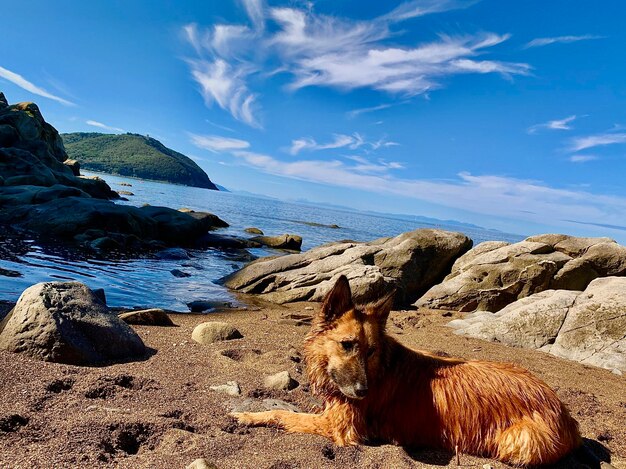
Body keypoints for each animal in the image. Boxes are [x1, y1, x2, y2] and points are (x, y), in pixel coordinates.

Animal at [233, 274, 580, 464]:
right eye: (347, 345)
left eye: (370, 350)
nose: (363, 392)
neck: (380, 369)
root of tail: (565, 412)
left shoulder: (340, 427)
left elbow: (282, 413)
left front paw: (247, 415)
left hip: (517, 442)